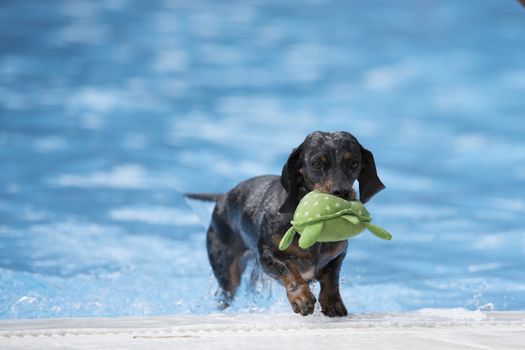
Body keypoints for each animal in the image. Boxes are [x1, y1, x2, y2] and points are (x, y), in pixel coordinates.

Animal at [186, 131, 382, 318]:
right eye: (316, 164)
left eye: (354, 163)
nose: (342, 192)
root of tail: (224, 196)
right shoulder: (267, 255)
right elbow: (288, 269)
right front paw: (300, 296)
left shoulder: (337, 255)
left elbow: (331, 278)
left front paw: (332, 302)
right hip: (228, 272)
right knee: (227, 292)